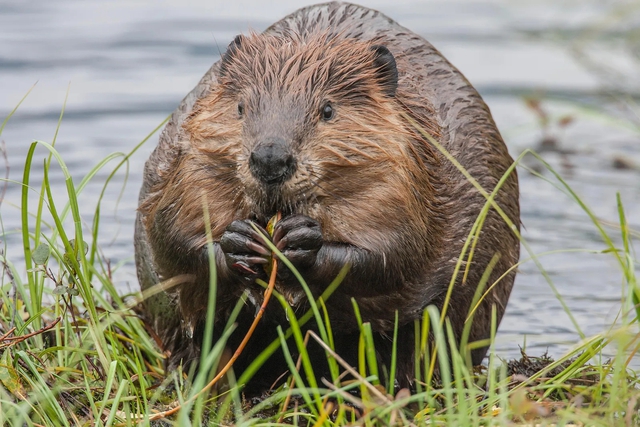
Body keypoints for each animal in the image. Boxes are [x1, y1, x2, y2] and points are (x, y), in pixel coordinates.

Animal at [135, 0, 520, 394]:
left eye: (328, 110)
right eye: (241, 107)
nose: (270, 159)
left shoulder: (410, 174)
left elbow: (397, 251)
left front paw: (303, 241)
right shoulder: (188, 162)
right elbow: (172, 235)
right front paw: (240, 240)